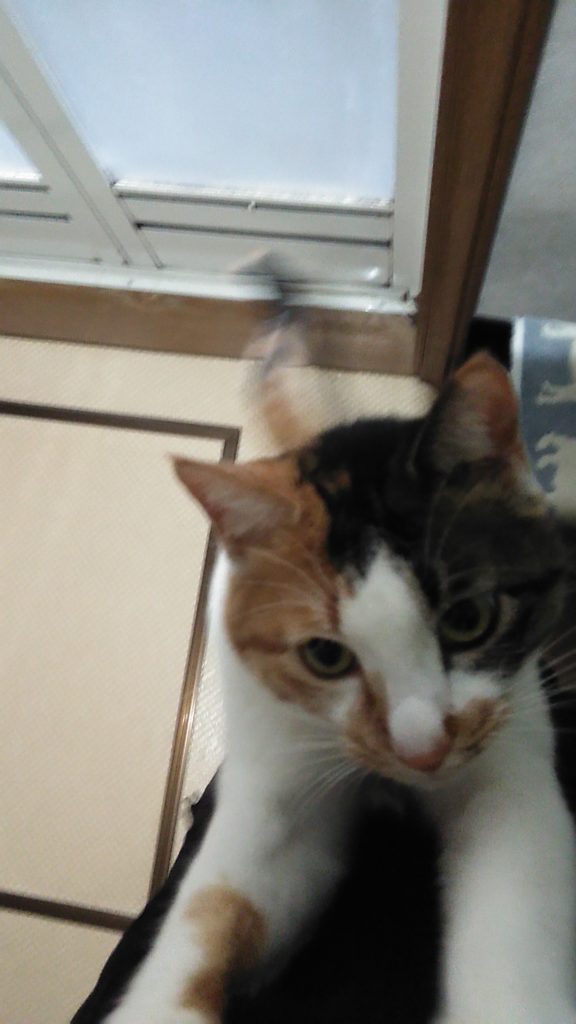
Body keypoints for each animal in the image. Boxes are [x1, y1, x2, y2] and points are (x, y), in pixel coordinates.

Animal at [104, 349, 576, 1024]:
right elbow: (222, 899)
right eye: (325, 655)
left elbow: (513, 895)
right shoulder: (277, 759)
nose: (422, 751)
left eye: (468, 619)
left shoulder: (512, 762)